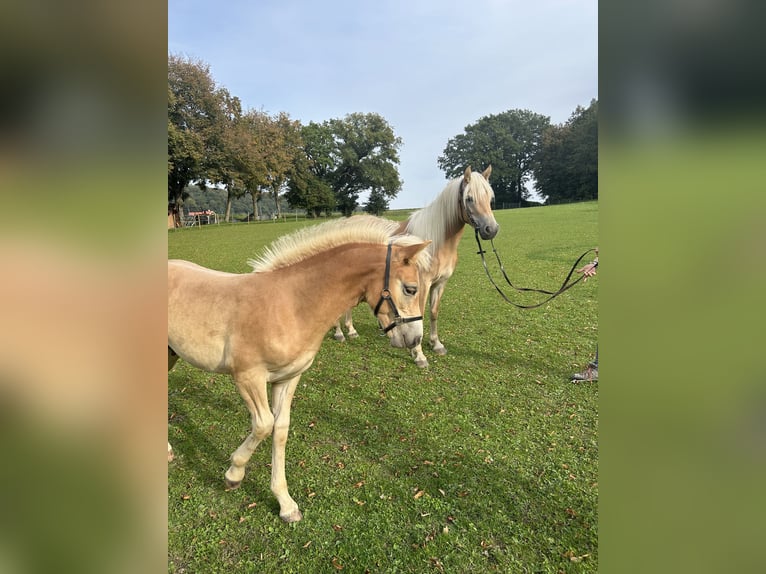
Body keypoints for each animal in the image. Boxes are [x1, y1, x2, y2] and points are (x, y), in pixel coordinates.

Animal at [169, 216, 432, 520]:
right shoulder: (248, 377)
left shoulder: (287, 378)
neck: (290, 304)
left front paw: (285, 503)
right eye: (411, 289)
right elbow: (263, 425)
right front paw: (234, 474)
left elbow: (280, 429)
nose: (414, 340)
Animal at [334, 166, 500, 368]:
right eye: (469, 198)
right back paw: (339, 333)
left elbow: (433, 313)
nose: (491, 229)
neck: (436, 243)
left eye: (490, 198)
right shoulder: (422, 284)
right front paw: (419, 355)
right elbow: (418, 315)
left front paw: (436, 344)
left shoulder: (440, 283)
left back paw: (351, 331)